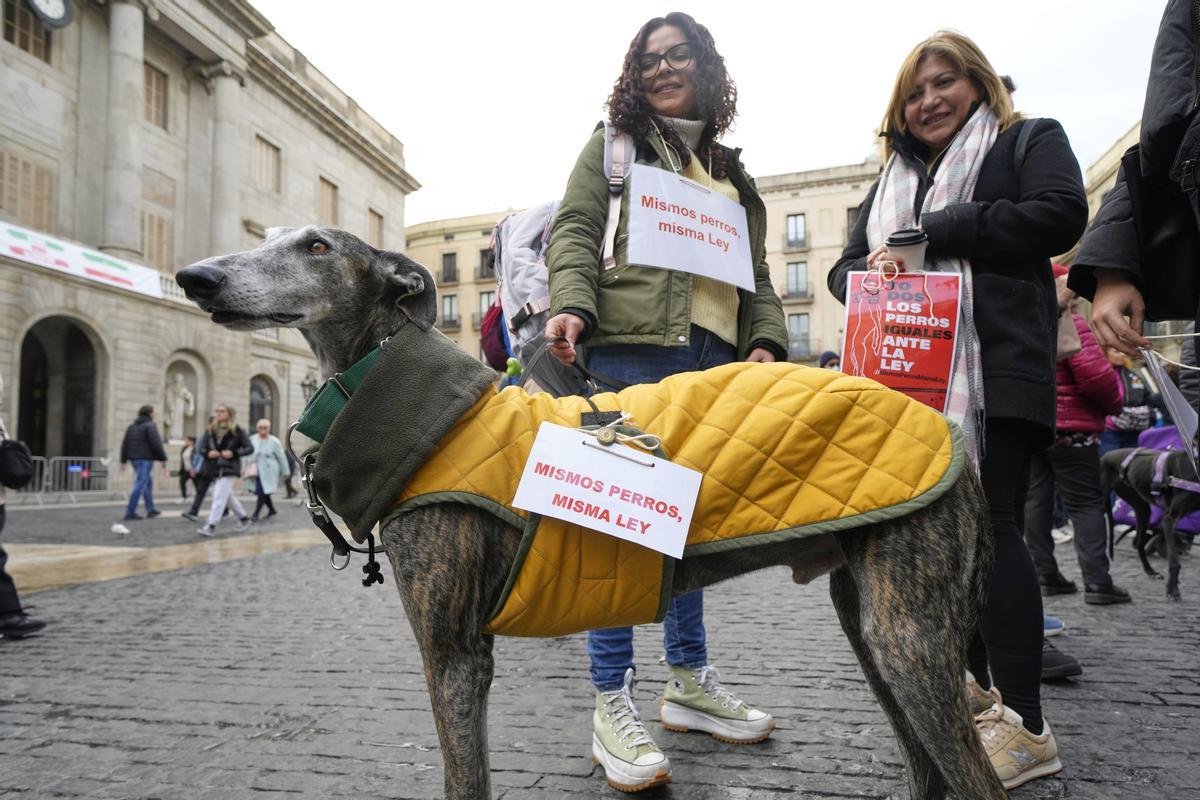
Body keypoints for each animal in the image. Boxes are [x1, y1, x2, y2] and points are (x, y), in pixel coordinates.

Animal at [1099, 443, 1195, 599]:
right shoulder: (1169, 519)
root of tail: (1105, 456)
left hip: (1142, 509)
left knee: (1139, 543)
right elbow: (1174, 561)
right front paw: (1172, 589)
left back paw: (1151, 571)